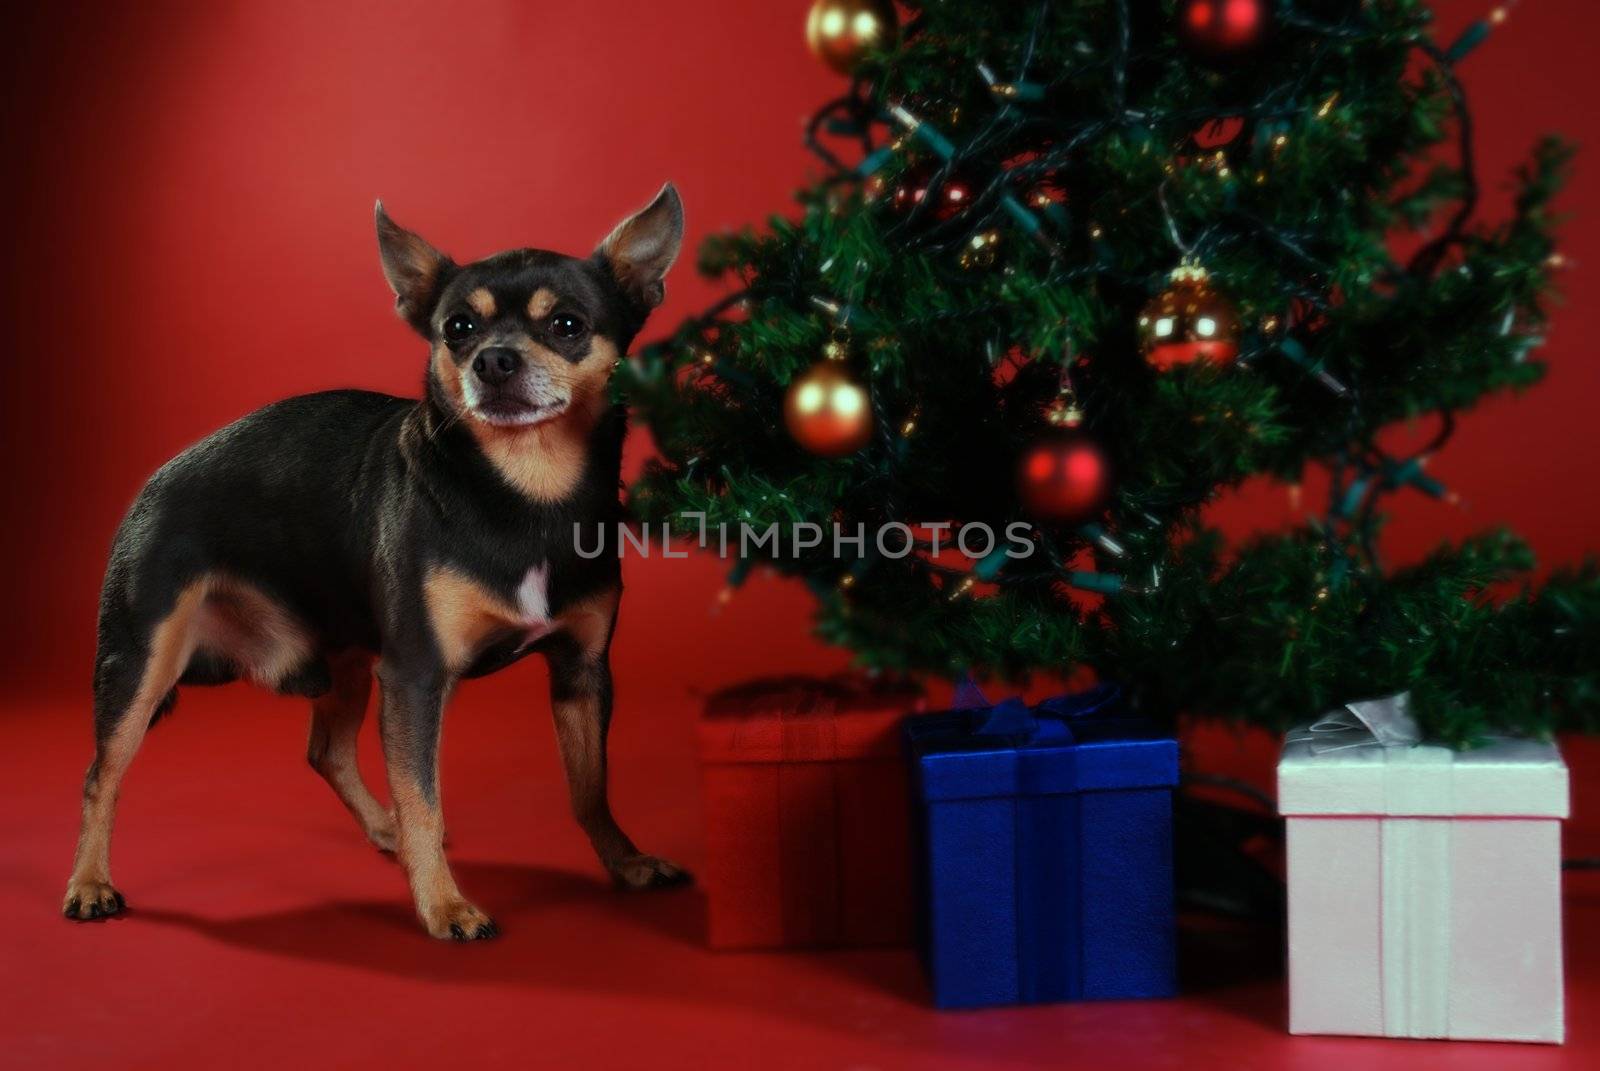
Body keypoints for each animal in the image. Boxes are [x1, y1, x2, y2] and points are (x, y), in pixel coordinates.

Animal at [65, 188, 688, 941]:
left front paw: (626, 862)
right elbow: (424, 792)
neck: (527, 493)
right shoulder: (417, 675)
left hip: (348, 657)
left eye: (567, 325)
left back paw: (385, 831)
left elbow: (589, 786)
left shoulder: (582, 670)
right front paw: (444, 905)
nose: (493, 360)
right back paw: (90, 883)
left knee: (326, 750)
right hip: (142, 662)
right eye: (457, 328)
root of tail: (153, 482)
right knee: (102, 773)